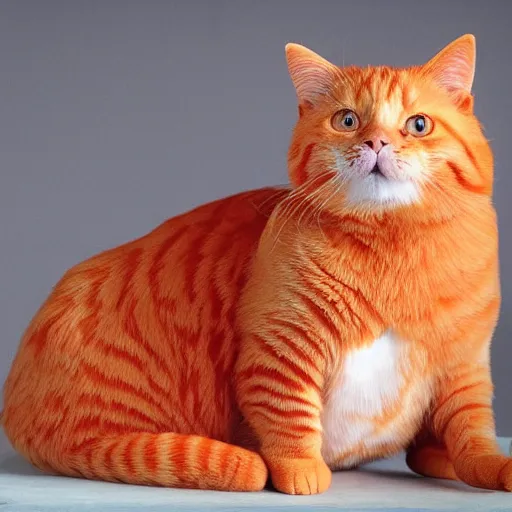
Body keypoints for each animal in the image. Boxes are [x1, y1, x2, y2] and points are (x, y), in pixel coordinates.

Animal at [2, 33, 510, 496]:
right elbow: (291, 416)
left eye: (418, 124)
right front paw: (301, 471)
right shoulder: (281, 351)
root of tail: (14, 404)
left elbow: (473, 432)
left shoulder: (467, 365)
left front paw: (484, 466)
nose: (377, 142)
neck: (391, 246)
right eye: (347, 120)